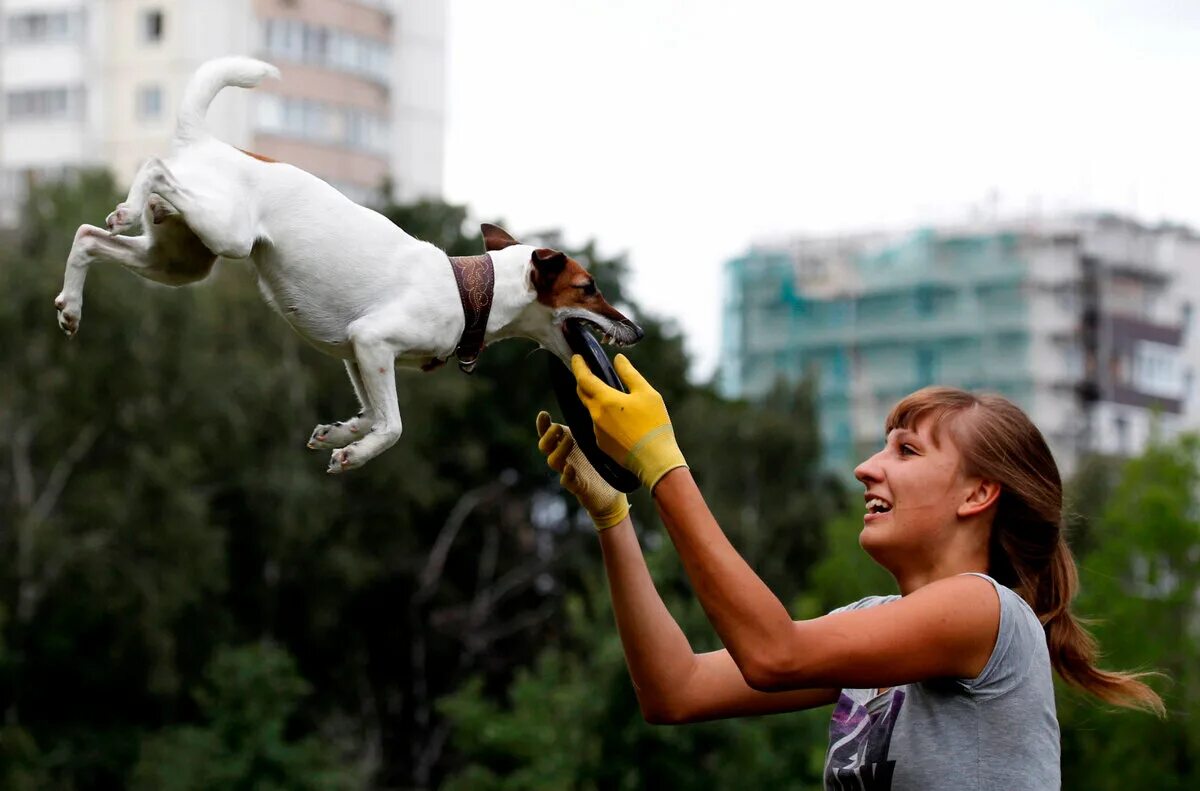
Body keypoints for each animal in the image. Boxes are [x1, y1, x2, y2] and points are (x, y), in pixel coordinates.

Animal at [55, 58, 643, 472]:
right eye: (589, 287)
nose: (635, 330)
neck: (473, 291)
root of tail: (204, 140)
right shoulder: (372, 341)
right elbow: (394, 426)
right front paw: (352, 455)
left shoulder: (358, 357)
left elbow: (372, 415)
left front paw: (338, 435)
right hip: (228, 234)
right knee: (153, 167)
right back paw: (124, 208)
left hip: (180, 259)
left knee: (86, 237)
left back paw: (71, 306)